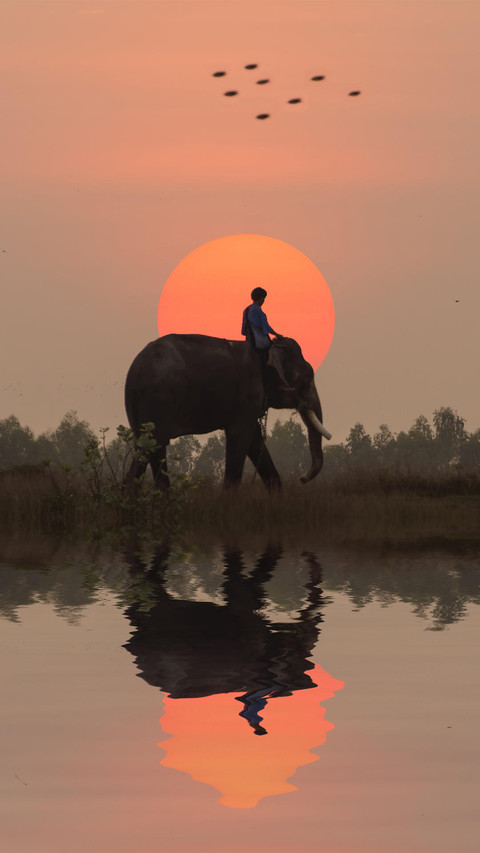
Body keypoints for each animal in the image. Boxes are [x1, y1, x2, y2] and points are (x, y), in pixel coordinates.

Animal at [124, 333, 331, 490]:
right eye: (306, 379)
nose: (302, 478)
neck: (265, 349)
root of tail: (135, 371)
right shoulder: (247, 393)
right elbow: (240, 436)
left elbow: (254, 439)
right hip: (159, 400)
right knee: (153, 446)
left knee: (148, 448)